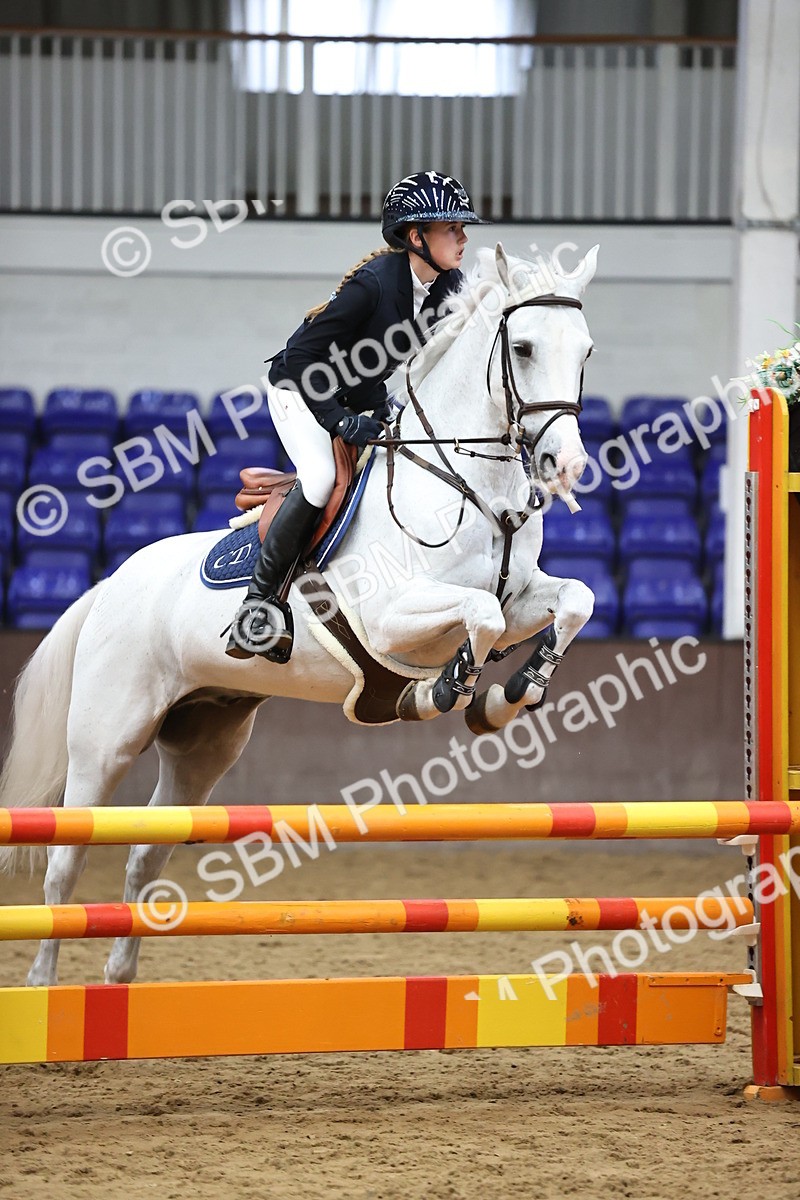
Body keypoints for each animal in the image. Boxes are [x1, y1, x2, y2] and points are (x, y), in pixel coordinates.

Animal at [0, 242, 598, 988]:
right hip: (105, 740)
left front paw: (511, 694)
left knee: (145, 857)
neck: (466, 482)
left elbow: (570, 601)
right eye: (521, 347)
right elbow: (479, 614)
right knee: (65, 863)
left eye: (586, 350)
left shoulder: (523, 600)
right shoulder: (391, 619)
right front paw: (444, 691)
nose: (565, 465)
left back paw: (118, 979)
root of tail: (110, 583)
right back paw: (43, 984)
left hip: (203, 744)